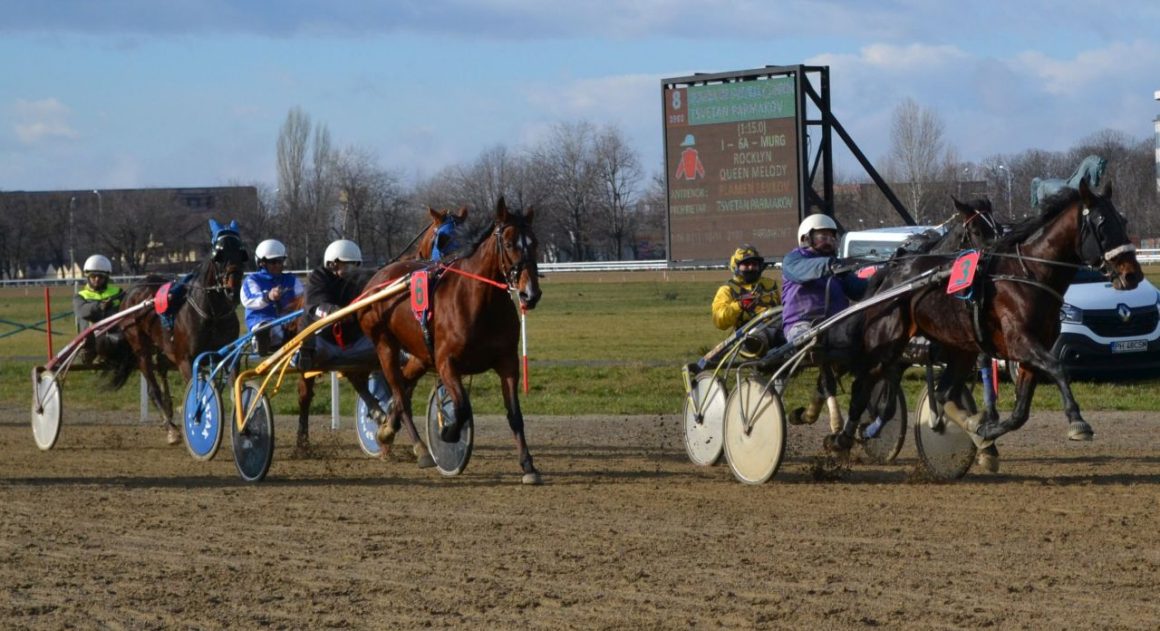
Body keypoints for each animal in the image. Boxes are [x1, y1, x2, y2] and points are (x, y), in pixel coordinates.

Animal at [105, 221, 248, 443]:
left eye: (241, 253)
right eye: (219, 255)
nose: (233, 290)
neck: (212, 313)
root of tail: (131, 291)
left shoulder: (228, 354)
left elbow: (235, 387)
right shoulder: (186, 360)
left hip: (163, 348)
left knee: (162, 371)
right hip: (140, 347)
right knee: (152, 386)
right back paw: (171, 428)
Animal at [354, 197, 540, 482]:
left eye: (535, 243)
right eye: (509, 244)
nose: (530, 293)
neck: (480, 302)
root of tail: (378, 277)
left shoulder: (507, 362)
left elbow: (515, 414)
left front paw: (528, 465)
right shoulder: (446, 362)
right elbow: (461, 408)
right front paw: (448, 432)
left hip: (419, 355)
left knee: (403, 388)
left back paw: (387, 429)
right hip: (384, 345)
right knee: (400, 393)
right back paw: (420, 449)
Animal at [839, 177, 1136, 463]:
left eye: (1123, 221)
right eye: (1102, 223)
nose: (1132, 274)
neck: (1027, 274)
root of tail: (891, 272)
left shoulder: (1030, 352)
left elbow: (1020, 413)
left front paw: (985, 432)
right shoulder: (1021, 343)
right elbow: (1059, 367)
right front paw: (1077, 421)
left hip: (957, 349)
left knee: (941, 392)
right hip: (887, 344)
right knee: (862, 385)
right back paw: (844, 437)